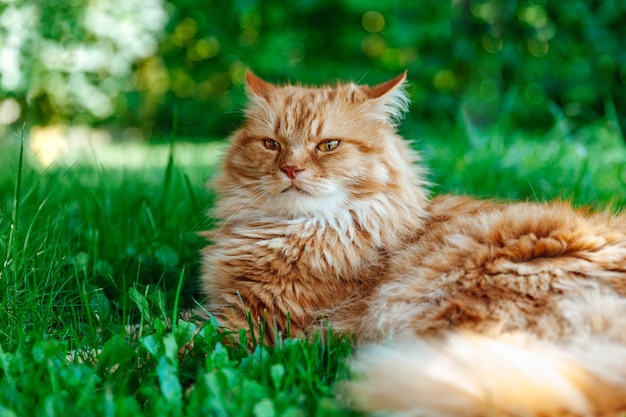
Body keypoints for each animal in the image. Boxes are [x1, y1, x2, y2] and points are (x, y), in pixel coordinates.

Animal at [199, 71, 624, 416]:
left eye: (328, 145)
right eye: (271, 145)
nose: (290, 169)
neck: (297, 228)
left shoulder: (256, 321)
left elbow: (190, 338)